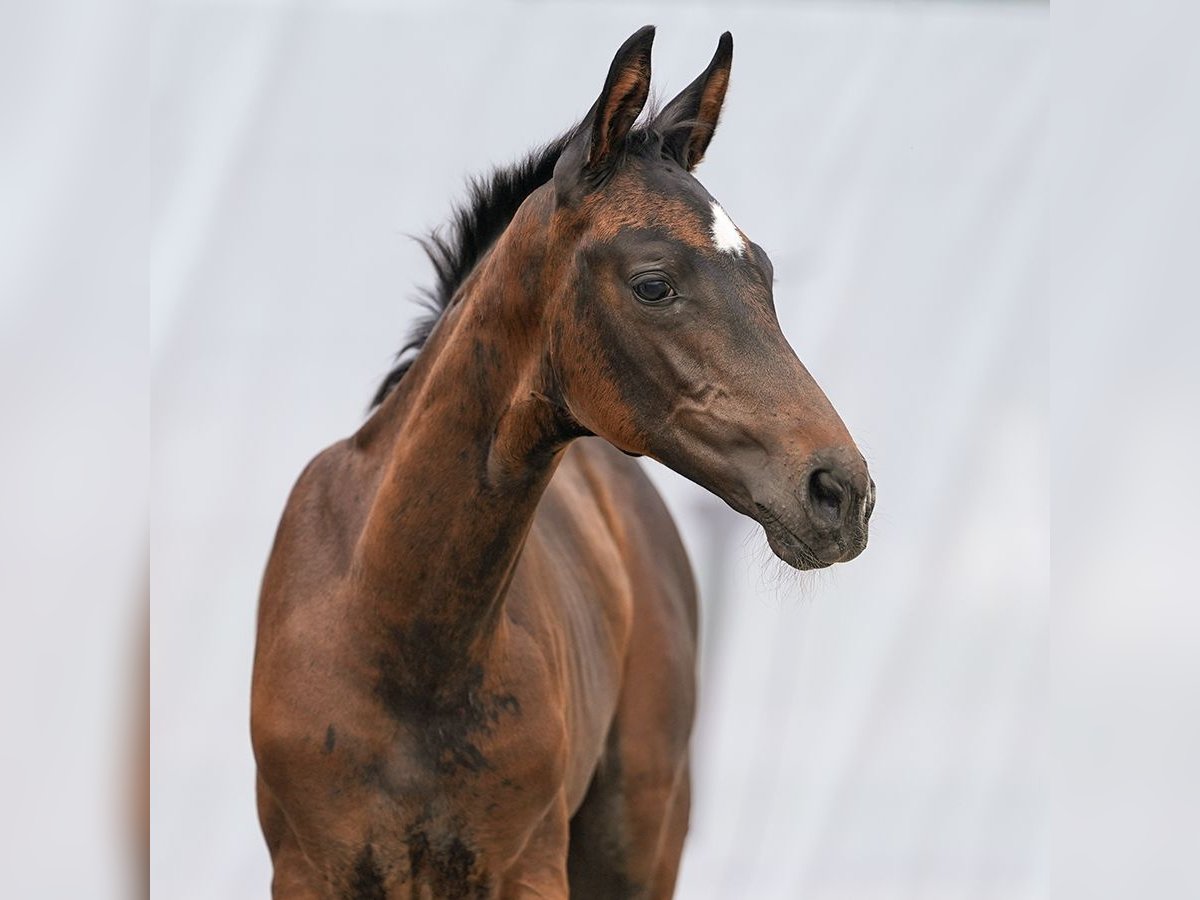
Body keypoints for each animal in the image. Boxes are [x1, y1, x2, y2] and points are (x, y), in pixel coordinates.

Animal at [250, 26, 873, 900]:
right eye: (654, 284)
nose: (841, 492)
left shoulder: (530, 863)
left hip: (641, 837)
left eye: (767, 274)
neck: (396, 629)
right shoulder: (308, 870)